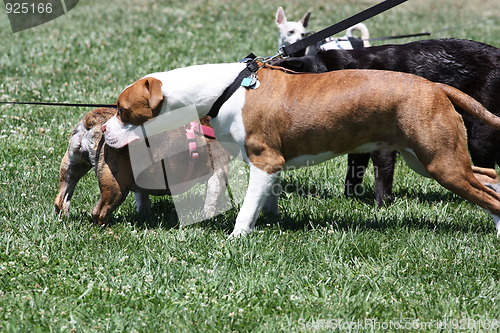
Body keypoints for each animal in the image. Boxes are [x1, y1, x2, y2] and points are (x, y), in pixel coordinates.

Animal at [53, 107, 229, 224]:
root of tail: (93, 122)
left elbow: (142, 199)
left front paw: (144, 215)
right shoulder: (219, 173)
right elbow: (212, 199)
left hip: (71, 167)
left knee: (62, 199)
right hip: (115, 187)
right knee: (100, 212)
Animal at [99, 63, 500, 236]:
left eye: (123, 110)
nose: (103, 129)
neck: (223, 88)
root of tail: (434, 87)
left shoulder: (264, 161)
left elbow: (246, 210)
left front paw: (236, 239)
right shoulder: (272, 167)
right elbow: (267, 201)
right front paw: (271, 221)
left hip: (441, 163)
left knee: (485, 193)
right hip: (427, 158)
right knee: (488, 177)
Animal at [274, 39, 500, 205]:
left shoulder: (382, 145)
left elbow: (381, 179)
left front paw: (381, 208)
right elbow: (353, 175)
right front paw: (351, 200)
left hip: (480, 135)